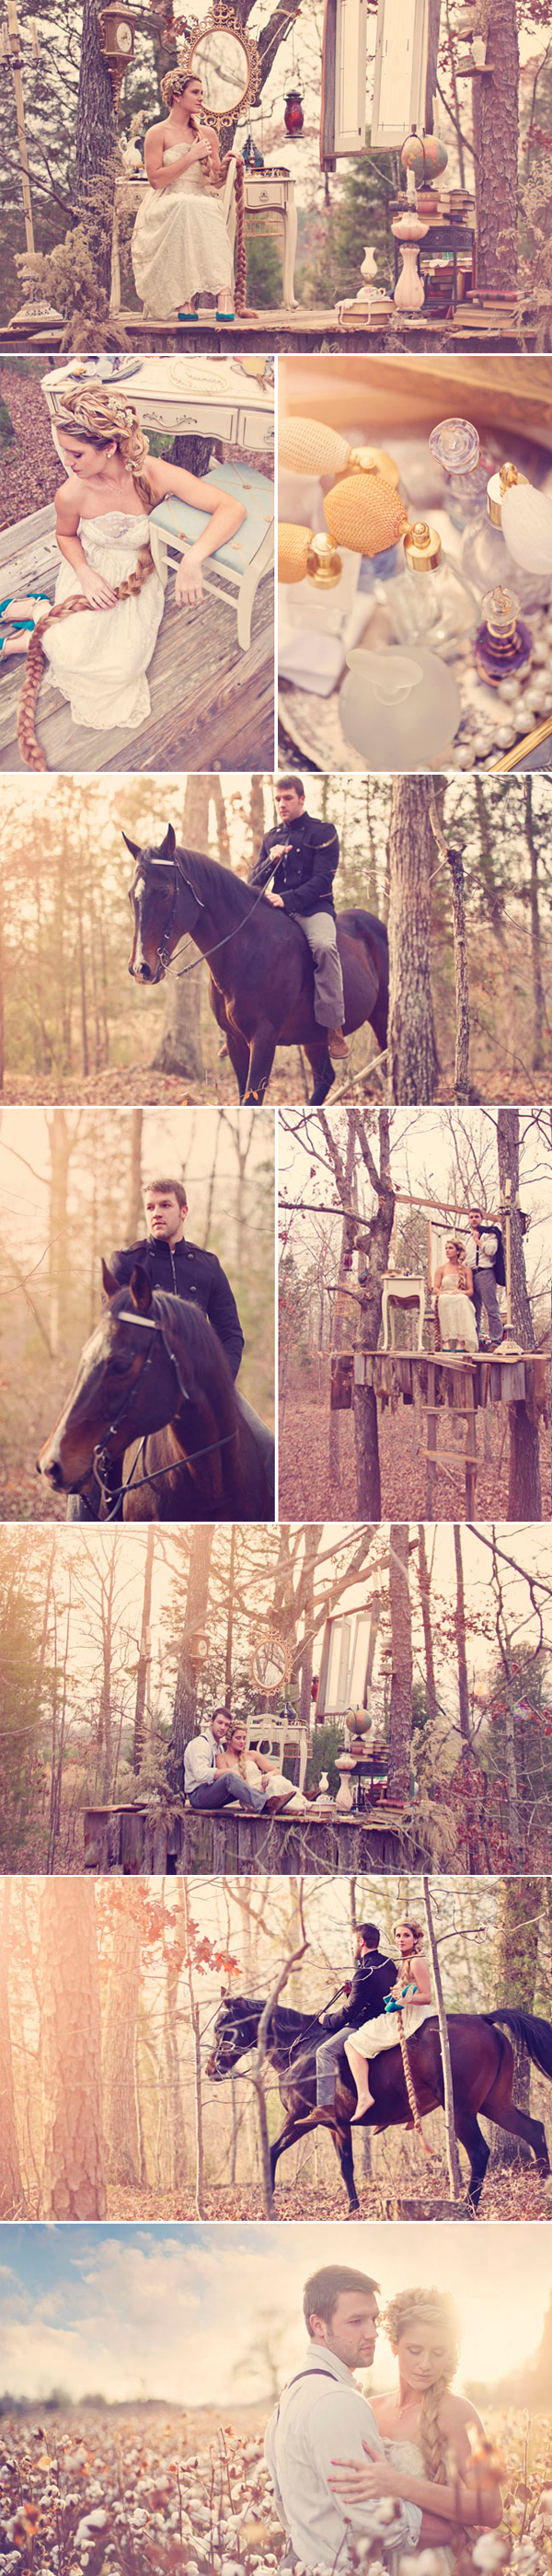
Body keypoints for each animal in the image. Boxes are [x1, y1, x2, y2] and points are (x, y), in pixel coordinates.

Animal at [124, 824, 386, 1108]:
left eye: (164, 892)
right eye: (131, 895)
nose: (141, 968)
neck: (246, 948)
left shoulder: (263, 1039)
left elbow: (252, 1099)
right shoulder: (235, 1040)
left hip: (382, 1018)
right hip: (314, 1037)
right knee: (325, 1077)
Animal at [206, 1988, 552, 2215]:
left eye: (223, 2029)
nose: (211, 2069)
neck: (300, 2049)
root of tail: (484, 2019)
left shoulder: (302, 2119)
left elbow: (276, 2153)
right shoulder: (334, 2125)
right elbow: (343, 2166)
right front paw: (352, 2208)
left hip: (463, 2110)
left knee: (480, 2152)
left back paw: (468, 2207)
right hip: (495, 2104)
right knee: (534, 2130)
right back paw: (544, 2189)